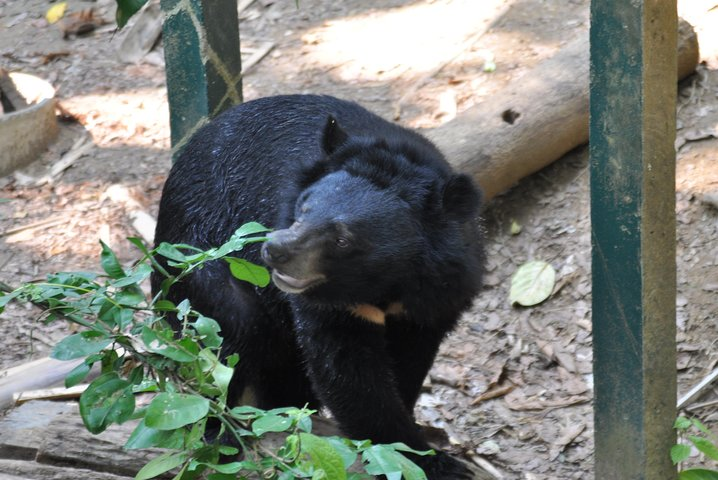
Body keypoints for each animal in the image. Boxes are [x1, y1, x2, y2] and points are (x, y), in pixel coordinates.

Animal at [154, 95, 486, 478]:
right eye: (303, 207)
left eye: (343, 238)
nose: (275, 250)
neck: (387, 284)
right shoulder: (334, 307)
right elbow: (347, 372)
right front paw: (421, 458)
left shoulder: (437, 297)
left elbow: (409, 362)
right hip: (196, 256)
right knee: (228, 334)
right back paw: (221, 432)